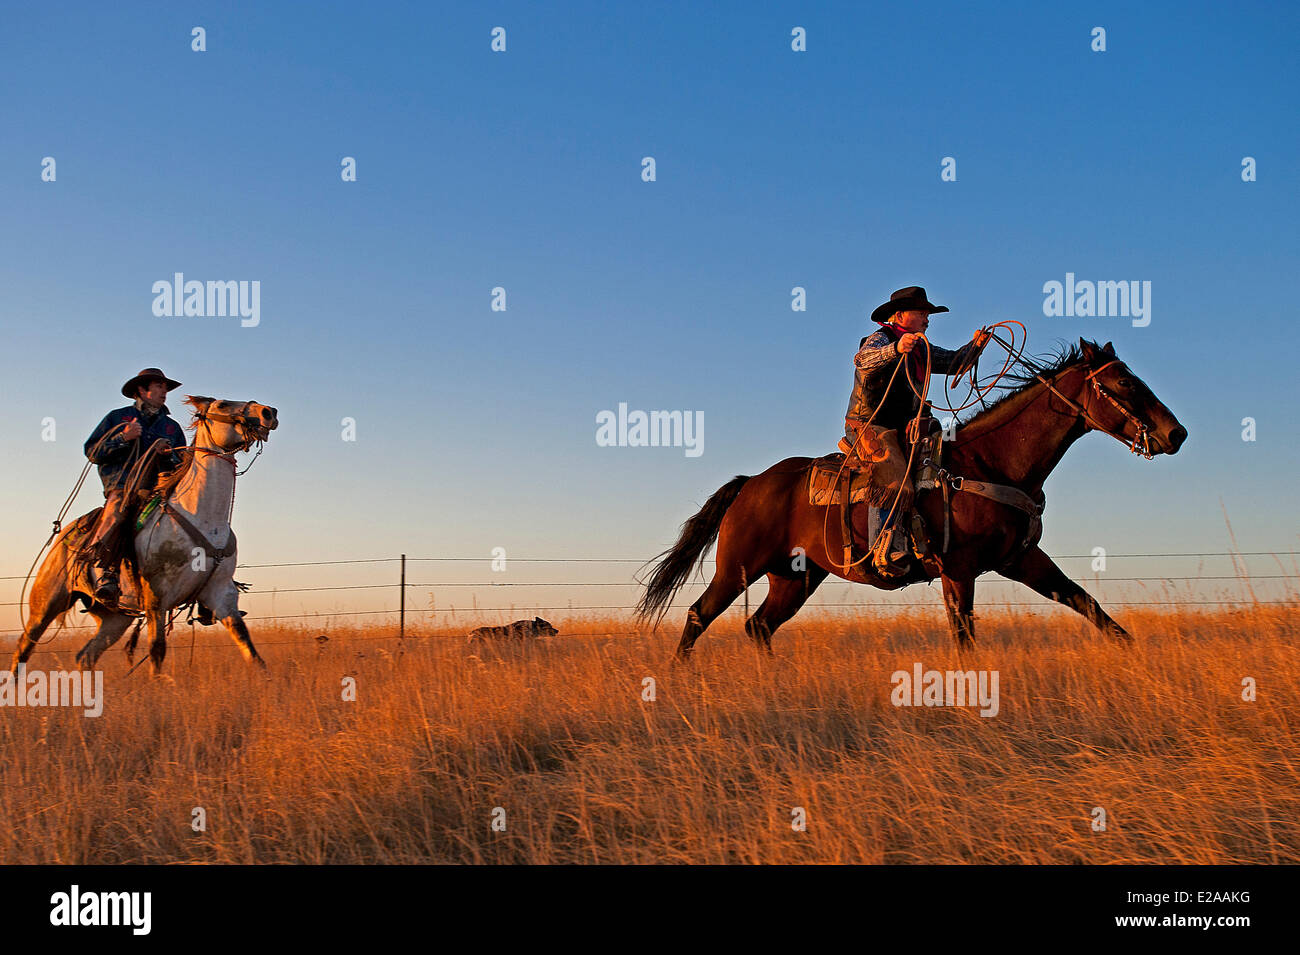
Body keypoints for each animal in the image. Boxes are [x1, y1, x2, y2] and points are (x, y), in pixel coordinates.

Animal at [10, 400, 279, 675]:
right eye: (222, 405)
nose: (268, 412)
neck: (201, 518)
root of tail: (63, 536)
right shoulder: (156, 597)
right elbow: (157, 650)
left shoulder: (221, 593)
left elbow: (247, 643)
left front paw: (265, 679)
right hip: (47, 602)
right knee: (24, 647)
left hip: (116, 617)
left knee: (86, 656)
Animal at [639, 335, 1190, 657]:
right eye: (1124, 381)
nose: (1176, 434)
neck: (990, 463)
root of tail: (752, 482)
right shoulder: (959, 569)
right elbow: (965, 638)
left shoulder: (1022, 560)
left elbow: (1088, 604)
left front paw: (1136, 655)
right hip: (739, 567)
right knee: (698, 616)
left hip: (795, 579)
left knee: (758, 628)